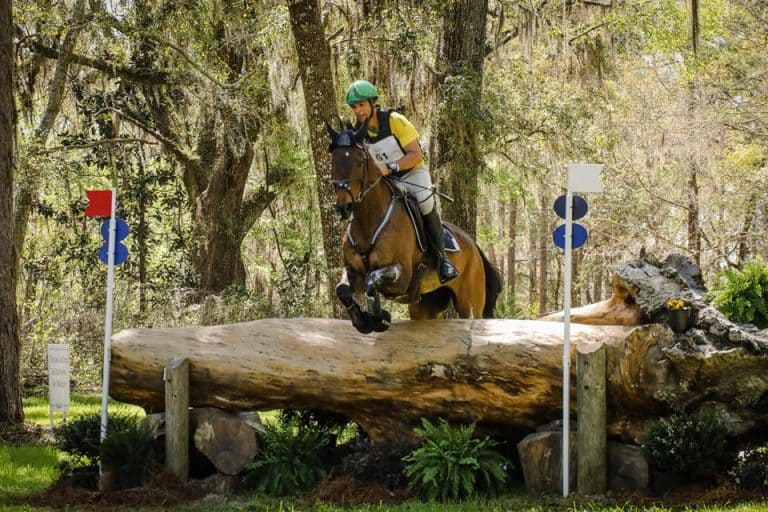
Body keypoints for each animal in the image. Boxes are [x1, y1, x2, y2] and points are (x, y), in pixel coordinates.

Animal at [327, 122, 503, 334]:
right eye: (334, 161)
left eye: (360, 161)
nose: (343, 207)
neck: (368, 222)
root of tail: (474, 246)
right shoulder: (354, 271)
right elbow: (343, 289)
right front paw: (362, 321)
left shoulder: (401, 276)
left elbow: (372, 281)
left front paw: (379, 319)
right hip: (425, 305)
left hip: (469, 302)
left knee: (471, 316)